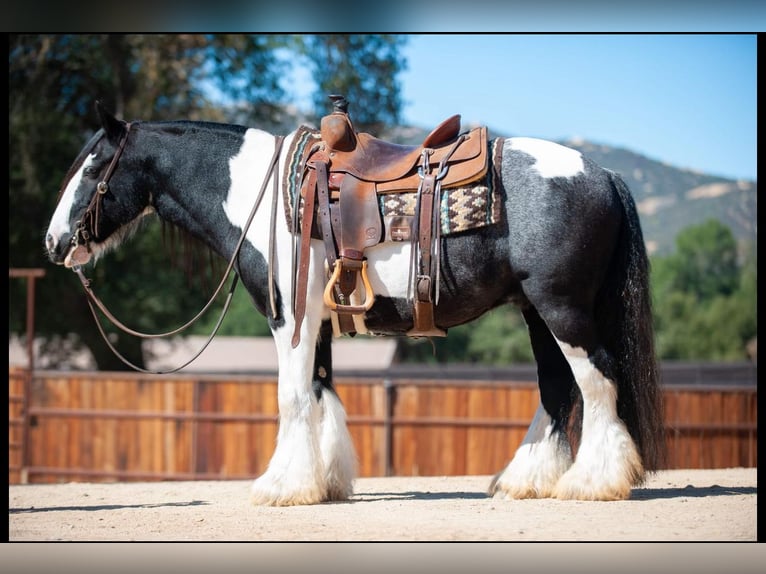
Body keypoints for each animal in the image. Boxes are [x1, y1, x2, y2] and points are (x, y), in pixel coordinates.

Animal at [45, 102, 664, 508]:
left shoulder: (289, 318)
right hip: (537, 310)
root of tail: (604, 173)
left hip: (561, 309)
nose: (54, 243)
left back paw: (594, 482)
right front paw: (326, 482)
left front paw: (282, 486)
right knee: (559, 388)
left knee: (597, 380)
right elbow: (322, 394)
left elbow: (293, 397)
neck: (259, 196)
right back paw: (526, 479)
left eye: (94, 167)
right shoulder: (315, 322)